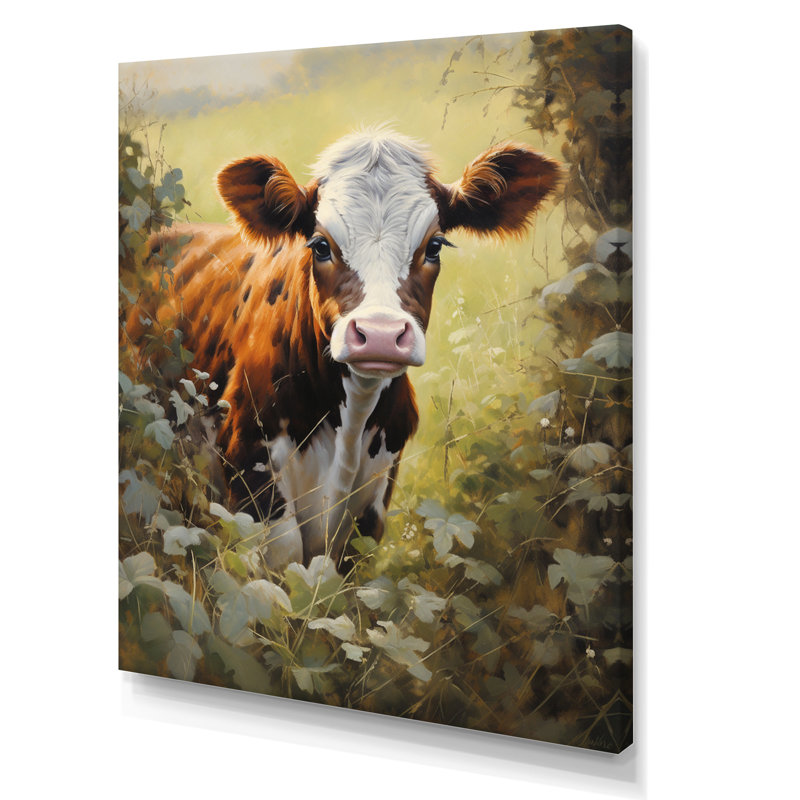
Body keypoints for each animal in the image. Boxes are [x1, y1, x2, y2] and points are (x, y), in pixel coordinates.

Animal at [132, 129, 558, 570]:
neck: (349, 422)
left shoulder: (371, 503)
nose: (381, 334)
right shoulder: (252, 475)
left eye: (435, 245)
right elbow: (284, 563)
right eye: (320, 245)